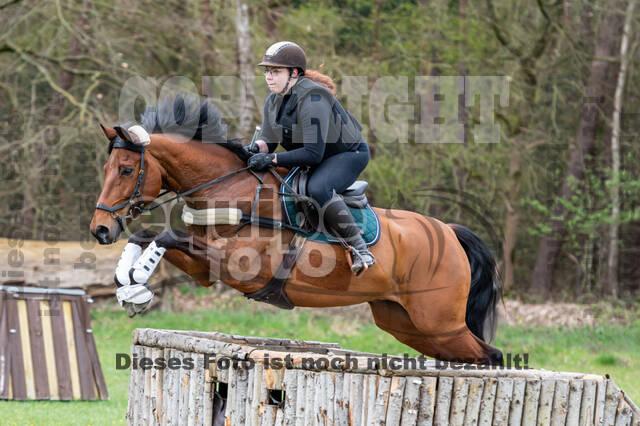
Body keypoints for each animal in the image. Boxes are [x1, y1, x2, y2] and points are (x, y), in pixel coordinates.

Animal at [87, 95, 502, 364]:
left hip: (440, 322)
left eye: (127, 170)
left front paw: (137, 282)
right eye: (105, 169)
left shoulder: (241, 265)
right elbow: (146, 236)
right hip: (409, 325)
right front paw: (126, 277)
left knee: (493, 356)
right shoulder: (206, 269)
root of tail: (449, 232)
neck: (230, 189)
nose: (100, 230)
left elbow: (166, 235)